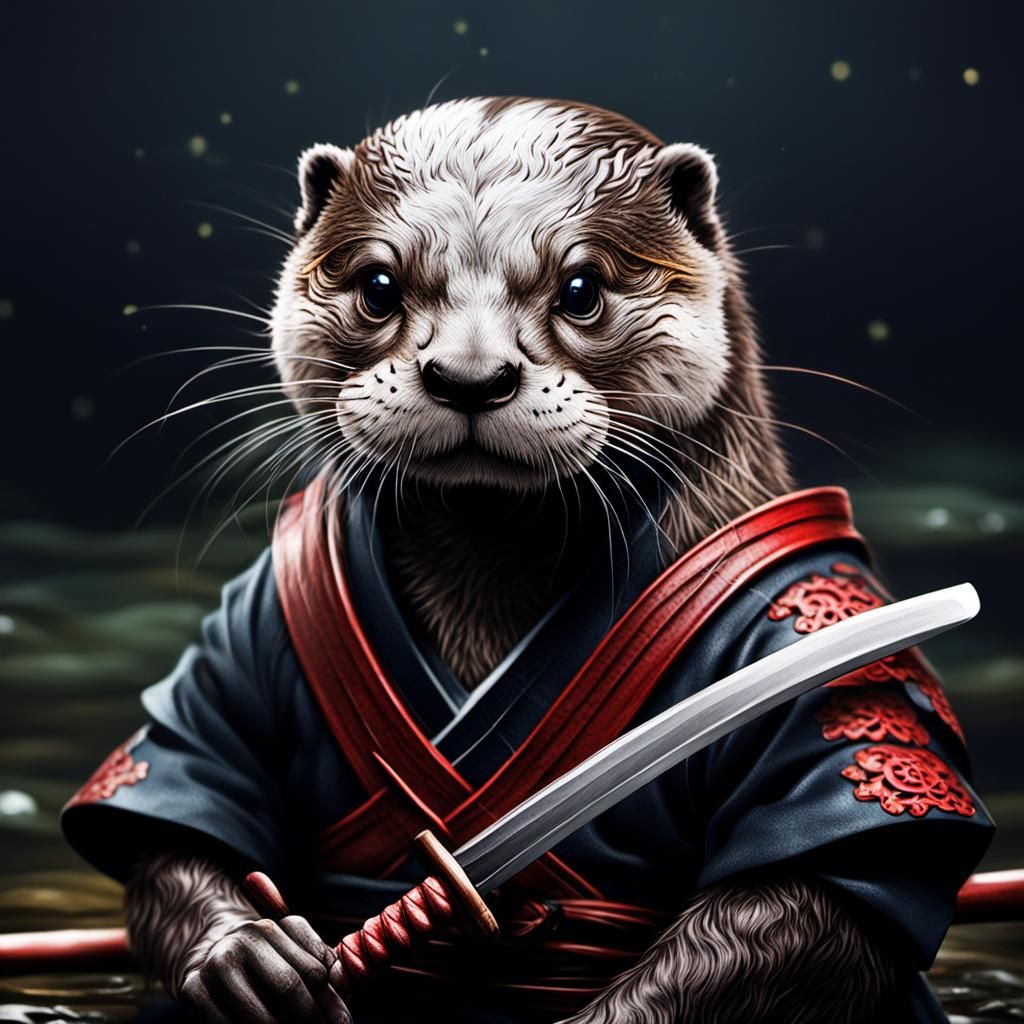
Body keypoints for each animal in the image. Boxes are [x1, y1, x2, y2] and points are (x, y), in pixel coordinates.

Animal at [61, 97, 990, 1024]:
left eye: (581, 289)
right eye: (377, 285)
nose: (469, 376)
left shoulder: (815, 623)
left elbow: (810, 899)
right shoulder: (252, 620)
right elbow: (170, 817)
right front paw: (245, 960)